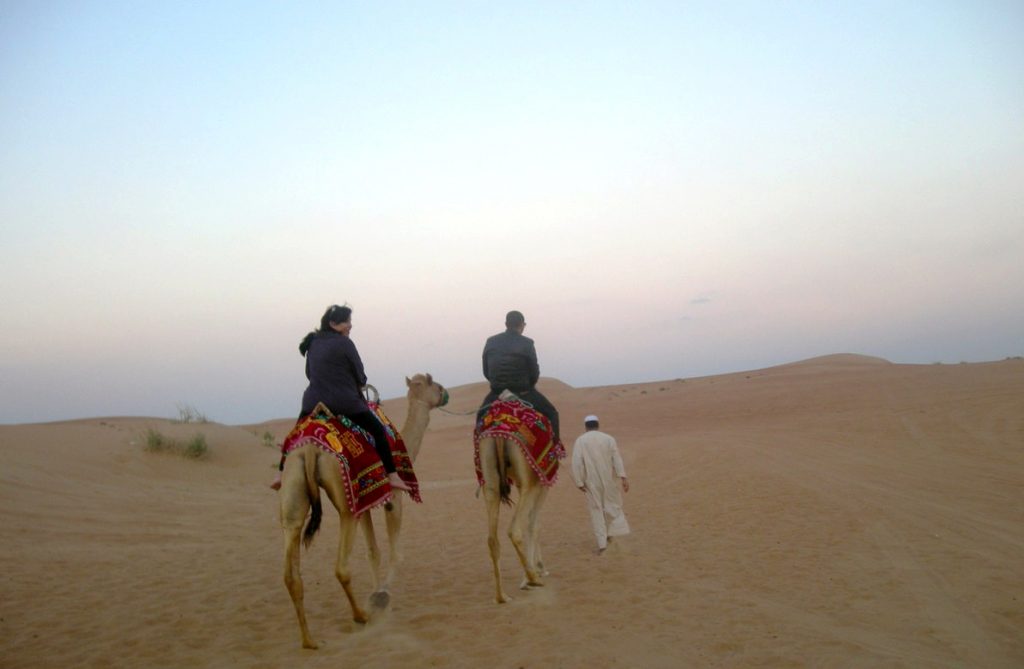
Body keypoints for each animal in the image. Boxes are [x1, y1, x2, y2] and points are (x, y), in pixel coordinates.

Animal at [278, 370, 446, 647]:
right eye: (437, 386)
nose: (445, 395)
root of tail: (312, 449)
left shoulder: (366, 503)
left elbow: (373, 552)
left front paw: (377, 593)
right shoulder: (393, 499)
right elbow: (395, 553)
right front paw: (382, 596)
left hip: (294, 489)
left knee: (291, 571)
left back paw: (309, 641)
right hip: (346, 508)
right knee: (341, 568)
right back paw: (360, 616)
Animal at [479, 430, 552, 602]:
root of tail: (498, 437)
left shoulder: (523, 483)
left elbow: (532, 522)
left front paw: (537, 568)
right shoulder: (542, 481)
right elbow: (534, 524)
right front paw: (537, 570)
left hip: (490, 481)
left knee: (492, 539)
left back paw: (502, 597)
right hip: (529, 481)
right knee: (514, 529)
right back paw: (533, 579)